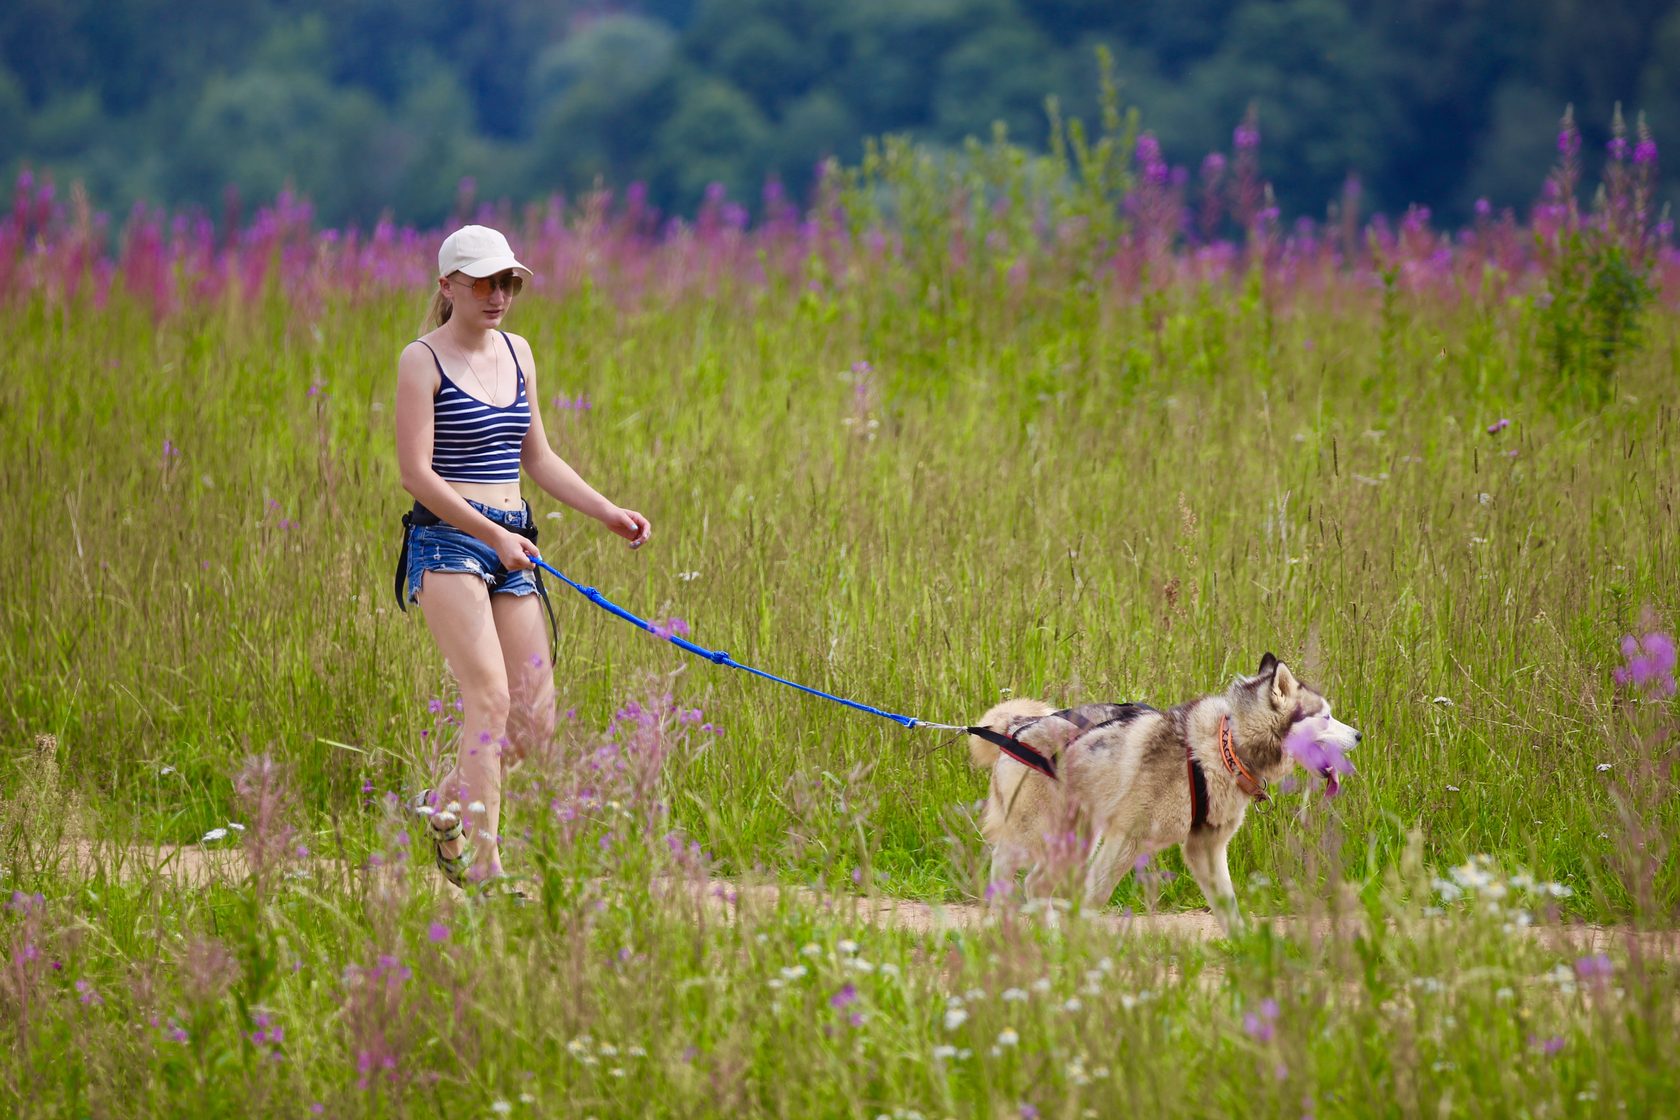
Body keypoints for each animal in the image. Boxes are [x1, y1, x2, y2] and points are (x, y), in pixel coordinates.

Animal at [974, 651, 1364, 933]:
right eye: (1326, 717)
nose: (1360, 735)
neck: (1223, 747)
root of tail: (1018, 726)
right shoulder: (1125, 839)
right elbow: (1094, 896)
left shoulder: (1205, 848)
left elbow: (1229, 908)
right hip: (1037, 835)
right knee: (1003, 871)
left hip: (1074, 842)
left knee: (1036, 884)